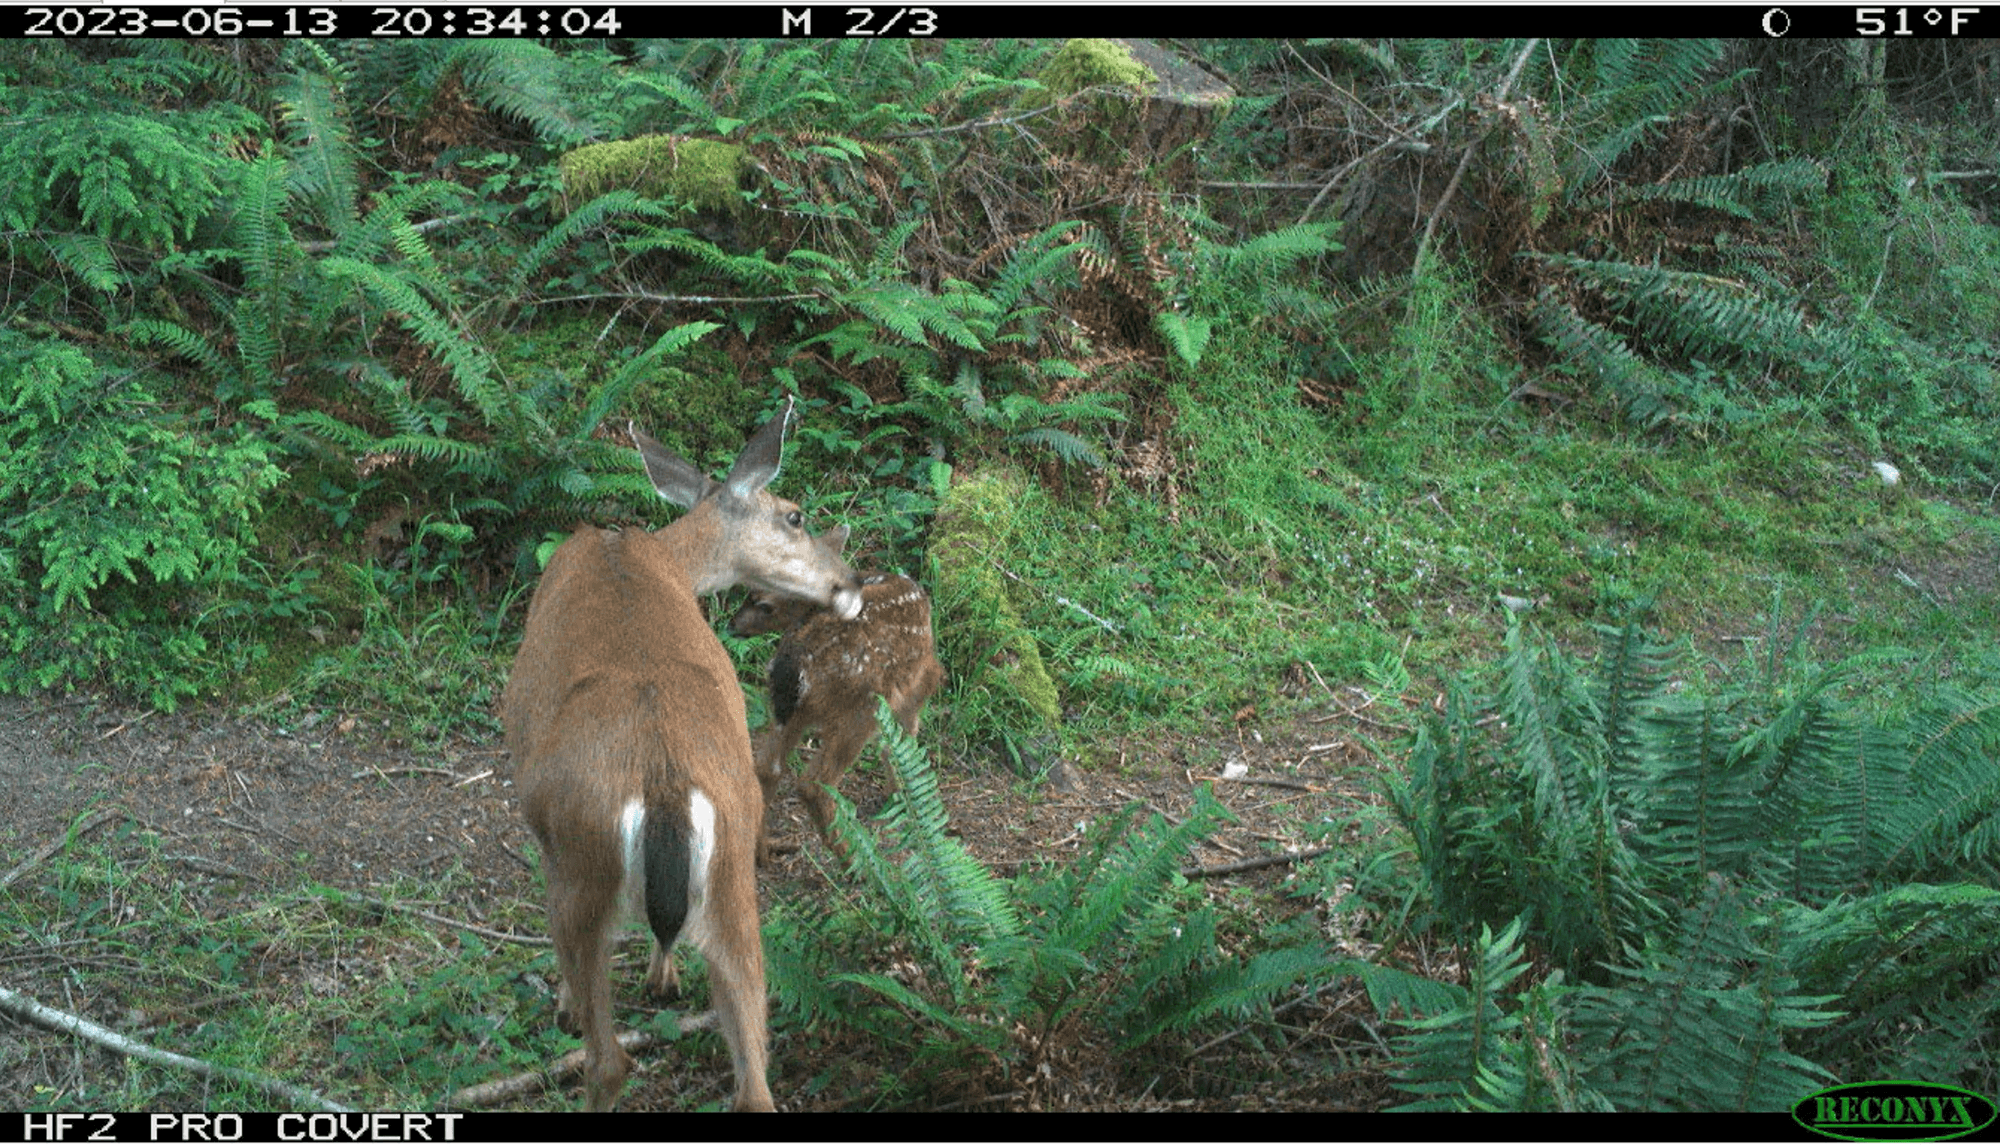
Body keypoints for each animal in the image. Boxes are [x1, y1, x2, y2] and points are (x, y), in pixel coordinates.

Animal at [500, 398, 862, 1112]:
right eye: (795, 515)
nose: (849, 579)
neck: (647, 551)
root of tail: (664, 784)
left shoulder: (540, 822)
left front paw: (569, 1003)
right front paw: (662, 975)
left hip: (585, 861)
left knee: (608, 1060)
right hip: (733, 874)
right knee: (754, 1078)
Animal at [728, 528, 946, 864]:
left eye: (762, 602)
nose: (732, 624)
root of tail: (795, 664)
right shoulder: (920, 682)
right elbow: (900, 741)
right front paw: (901, 795)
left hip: (788, 708)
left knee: (767, 768)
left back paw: (764, 851)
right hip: (860, 710)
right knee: (814, 784)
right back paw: (853, 861)